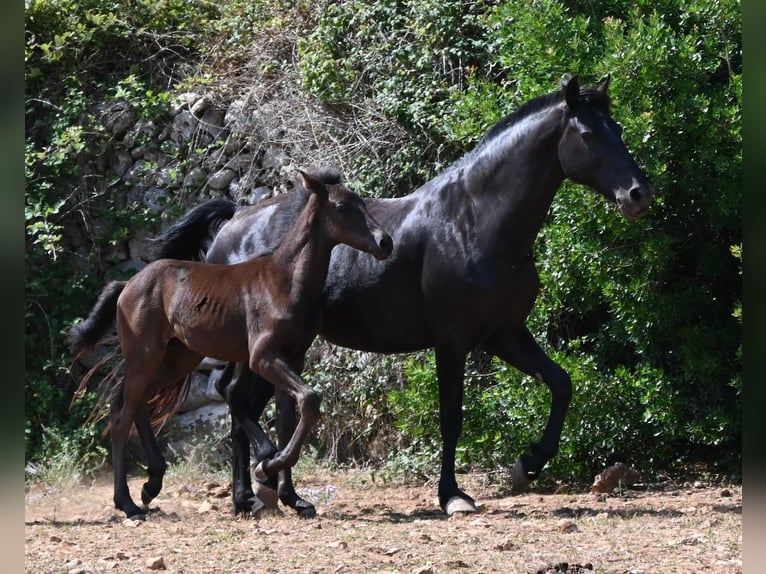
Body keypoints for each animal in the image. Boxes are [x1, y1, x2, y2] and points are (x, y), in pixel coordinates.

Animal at [69, 169, 393, 520]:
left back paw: (151, 484)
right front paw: (267, 463)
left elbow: (289, 418)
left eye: (363, 204)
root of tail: (127, 284)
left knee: (139, 402)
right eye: (342, 207)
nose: (385, 242)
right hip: (145, 356)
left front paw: (293, 496)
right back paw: (128, 503)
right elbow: (309, 399)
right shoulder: (262, 357)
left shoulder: (293, 358)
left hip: (179, 357)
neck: (285, 280)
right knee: (121, 417)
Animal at [151, 74, 653, 517]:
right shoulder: (453, 341)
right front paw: (453, 495)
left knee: (259, 404)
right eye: (587, 134)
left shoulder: (506, 335)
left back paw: (272, 495)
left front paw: (528, 464)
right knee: (239, 399)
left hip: (288, 347)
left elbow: (561, 383)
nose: (638, 195)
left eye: (617, 129)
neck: (474, 221)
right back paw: (259, 485)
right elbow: (452, 415)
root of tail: (234, 221)